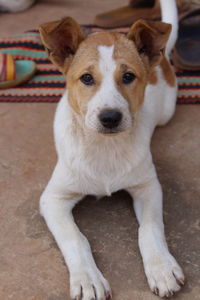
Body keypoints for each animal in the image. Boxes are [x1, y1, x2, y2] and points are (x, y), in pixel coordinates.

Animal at [39, 1, 186, 298]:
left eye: (128, 76)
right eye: (86, 78)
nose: (110, 118)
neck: (104, 147)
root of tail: (163, 60)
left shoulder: (148, 186)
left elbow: (150, 229)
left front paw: (162, 268)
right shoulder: (53, 198)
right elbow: (75, 237)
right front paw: (87, 279)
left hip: (166, 113)